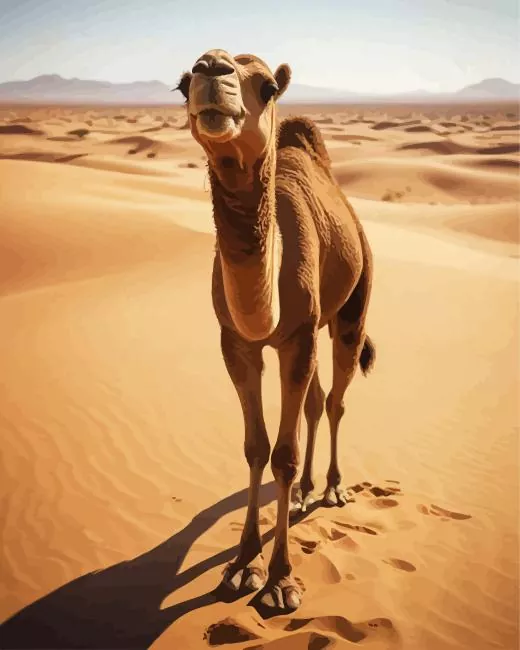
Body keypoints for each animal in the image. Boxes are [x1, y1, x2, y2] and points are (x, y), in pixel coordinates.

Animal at [176, 50, 375, 612]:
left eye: (266, 86)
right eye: (182, 84)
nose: (211, 67)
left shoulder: (298, 336)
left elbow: (282, 455)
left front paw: (281, 581)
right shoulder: (236, 343)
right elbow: (256, 448)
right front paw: (243, 566)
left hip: (352, 307)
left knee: (336, 399)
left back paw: (332, 488)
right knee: (315, 401)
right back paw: (308, 490)